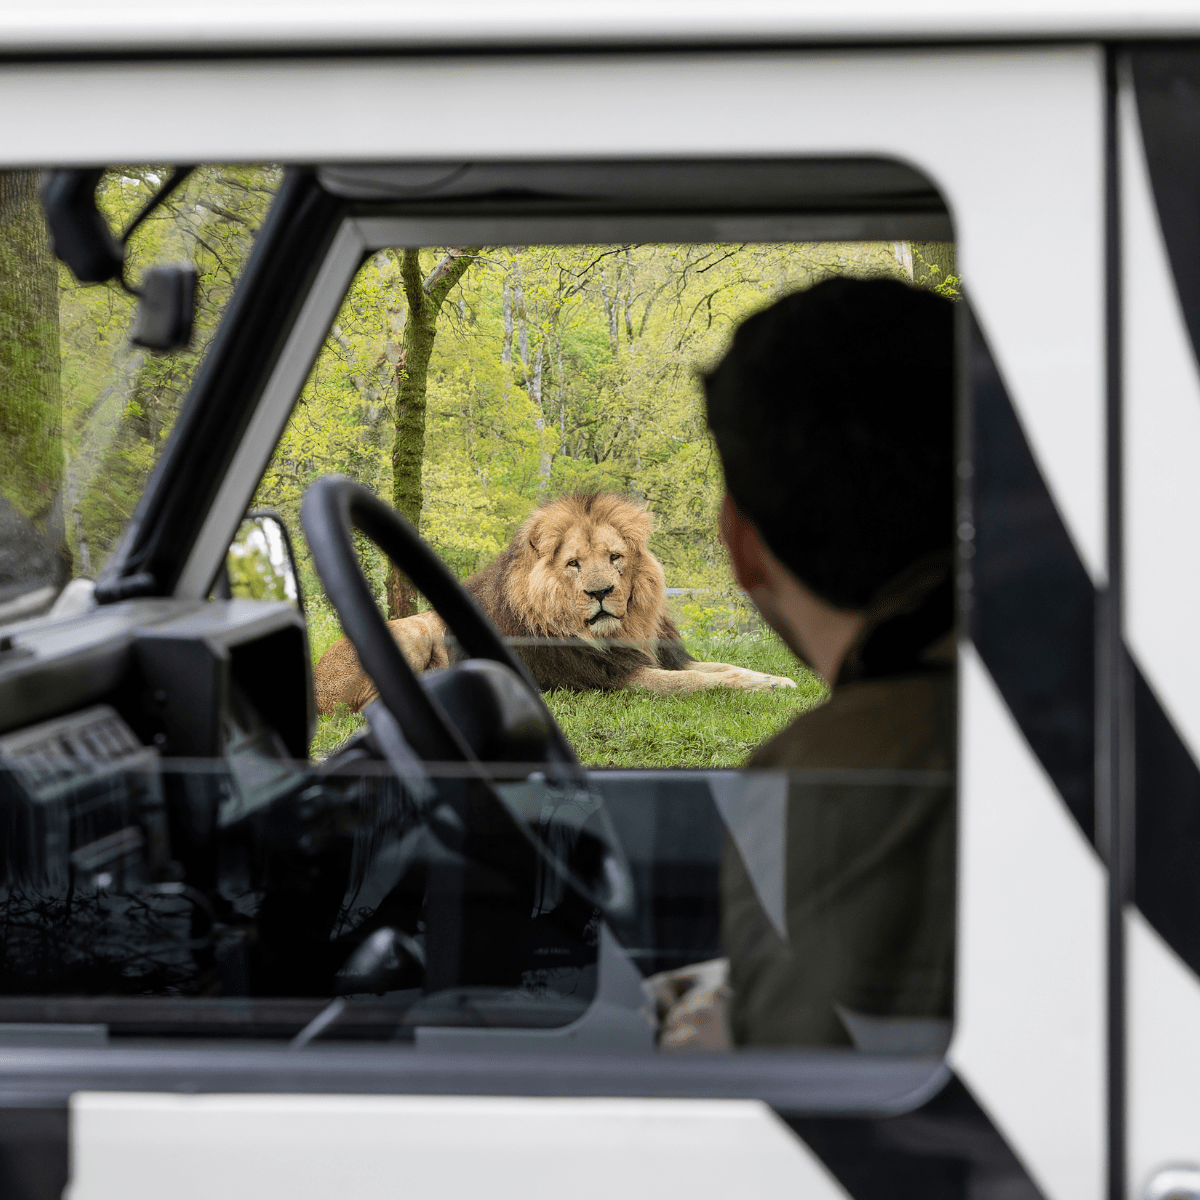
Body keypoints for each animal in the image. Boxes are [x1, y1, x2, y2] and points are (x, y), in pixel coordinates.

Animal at [313, 492, 796, 715]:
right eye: (574, 564)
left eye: (615, 558)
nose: (600, 593)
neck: (624, 630)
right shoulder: (610, 678)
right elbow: (698, 683)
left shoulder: (658, 655)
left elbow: (724, 668)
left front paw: (778, 681)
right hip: (410, 631)